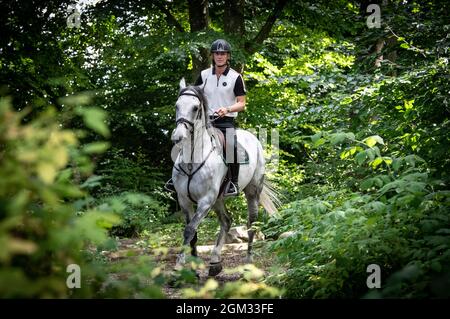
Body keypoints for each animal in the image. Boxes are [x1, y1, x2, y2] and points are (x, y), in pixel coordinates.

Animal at [172, 79, 278, 276]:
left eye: (195, 108)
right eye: (177, 105)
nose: (178, 136)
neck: (193, 159)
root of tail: (254, 139)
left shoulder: (205, 200)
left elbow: (189, 230)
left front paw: (177, 268)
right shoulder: (185, 200)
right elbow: (193, 233)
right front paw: (193, 269)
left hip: (251, 192)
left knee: (251, 223)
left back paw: (248, 262)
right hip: (218, 199)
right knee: (226, 221)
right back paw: (215, 262)